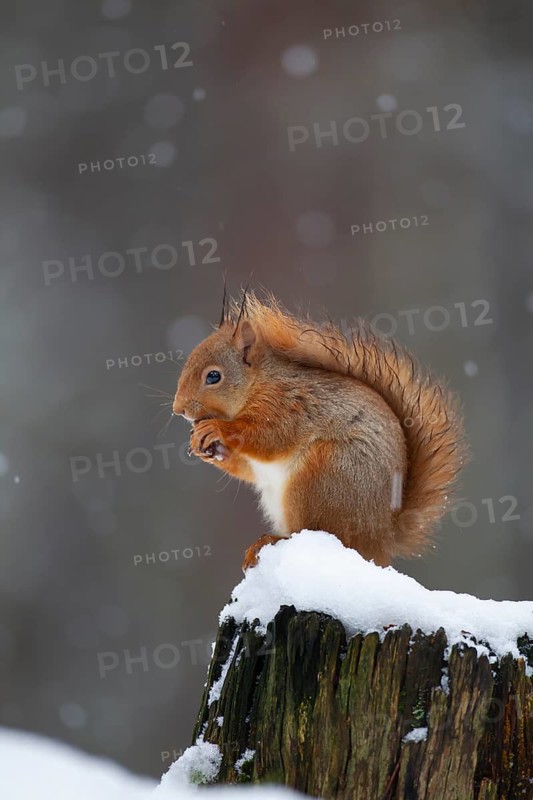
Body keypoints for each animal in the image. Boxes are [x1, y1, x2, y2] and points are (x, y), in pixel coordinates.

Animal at [172, 289, 467, 571]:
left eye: (213, 376)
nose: (179, 409)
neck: (258, 384)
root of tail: (382, 539)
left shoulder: (288, 406)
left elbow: (269, 438)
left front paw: (216, 428)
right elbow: (247, 468)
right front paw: (206, 448)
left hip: (323, 476)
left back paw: (271, 539)